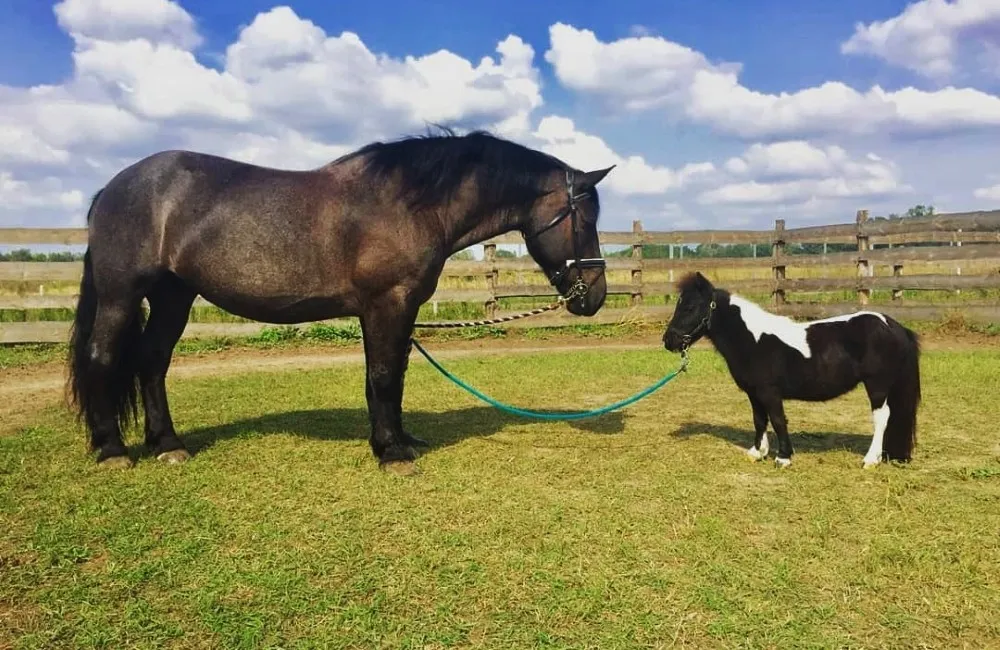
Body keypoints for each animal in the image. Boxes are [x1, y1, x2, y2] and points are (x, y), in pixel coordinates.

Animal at [66, 129, 612, 468]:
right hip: (121, 295)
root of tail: (112, 188)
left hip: (174, 297)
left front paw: (400, 439)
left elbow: (393, 377)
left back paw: (168, 444)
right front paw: (392, 454)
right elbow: (384, 375)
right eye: (585, 218)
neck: (411, 204)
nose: (595, 295)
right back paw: (113, 449)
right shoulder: (387, 304)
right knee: (103, 356)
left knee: (152, 361)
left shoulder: (401, 310)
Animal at [664, 270, 920, 468]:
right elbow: (759, 420)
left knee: (881, 417)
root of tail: (894, 326)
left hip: (877, 385)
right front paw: (757, 452)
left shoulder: (770, 392)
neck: (753, 340)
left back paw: (870, 460)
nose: (668, 341)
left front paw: (783, 457)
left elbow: (778, 420)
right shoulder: (754, 393)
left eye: (690, 307)